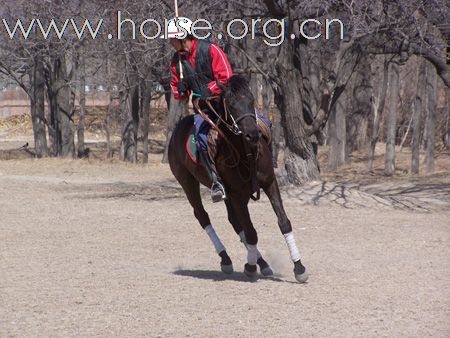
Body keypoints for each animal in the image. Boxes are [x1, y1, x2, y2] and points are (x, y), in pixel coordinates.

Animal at [169, 74, 310, 282]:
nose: (252, 134)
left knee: (235, 222)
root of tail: (177, 129)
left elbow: (283, 222)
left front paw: (299, 267)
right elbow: (251, 232)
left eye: (251, 100)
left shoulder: (269, 183)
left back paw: (263, 264)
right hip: (188, 182)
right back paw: (226, 259)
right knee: (203, 216)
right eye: (231, 104)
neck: (246, 153)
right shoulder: (236, 193)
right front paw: (250, 267)